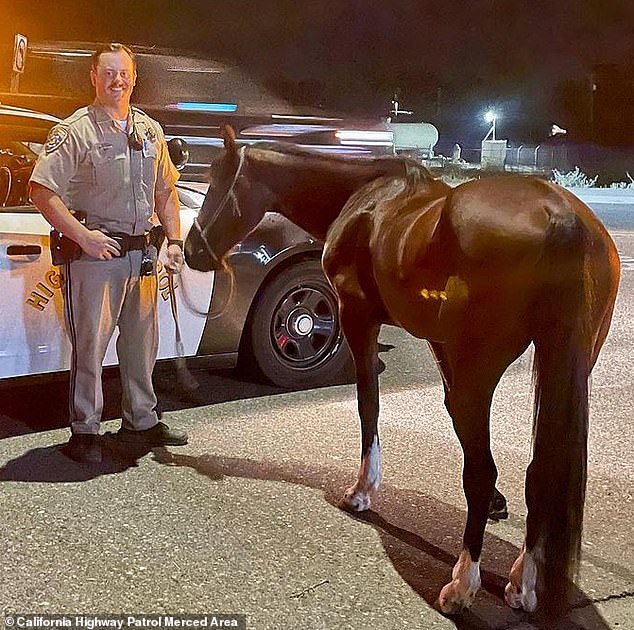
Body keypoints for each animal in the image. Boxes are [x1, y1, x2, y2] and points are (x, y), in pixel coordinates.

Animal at [185, 127, 620, 616]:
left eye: (219, 182)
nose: (192, 250)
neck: (364, 197)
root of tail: (559, 217)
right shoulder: (439, 342)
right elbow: (452, 418)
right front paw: (495, 505)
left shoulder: (357, 319)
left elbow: (369, 405)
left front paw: (362, 490)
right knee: (538, 471)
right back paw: (521, 583)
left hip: (480, 368)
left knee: (485, 470)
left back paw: (462, 584)